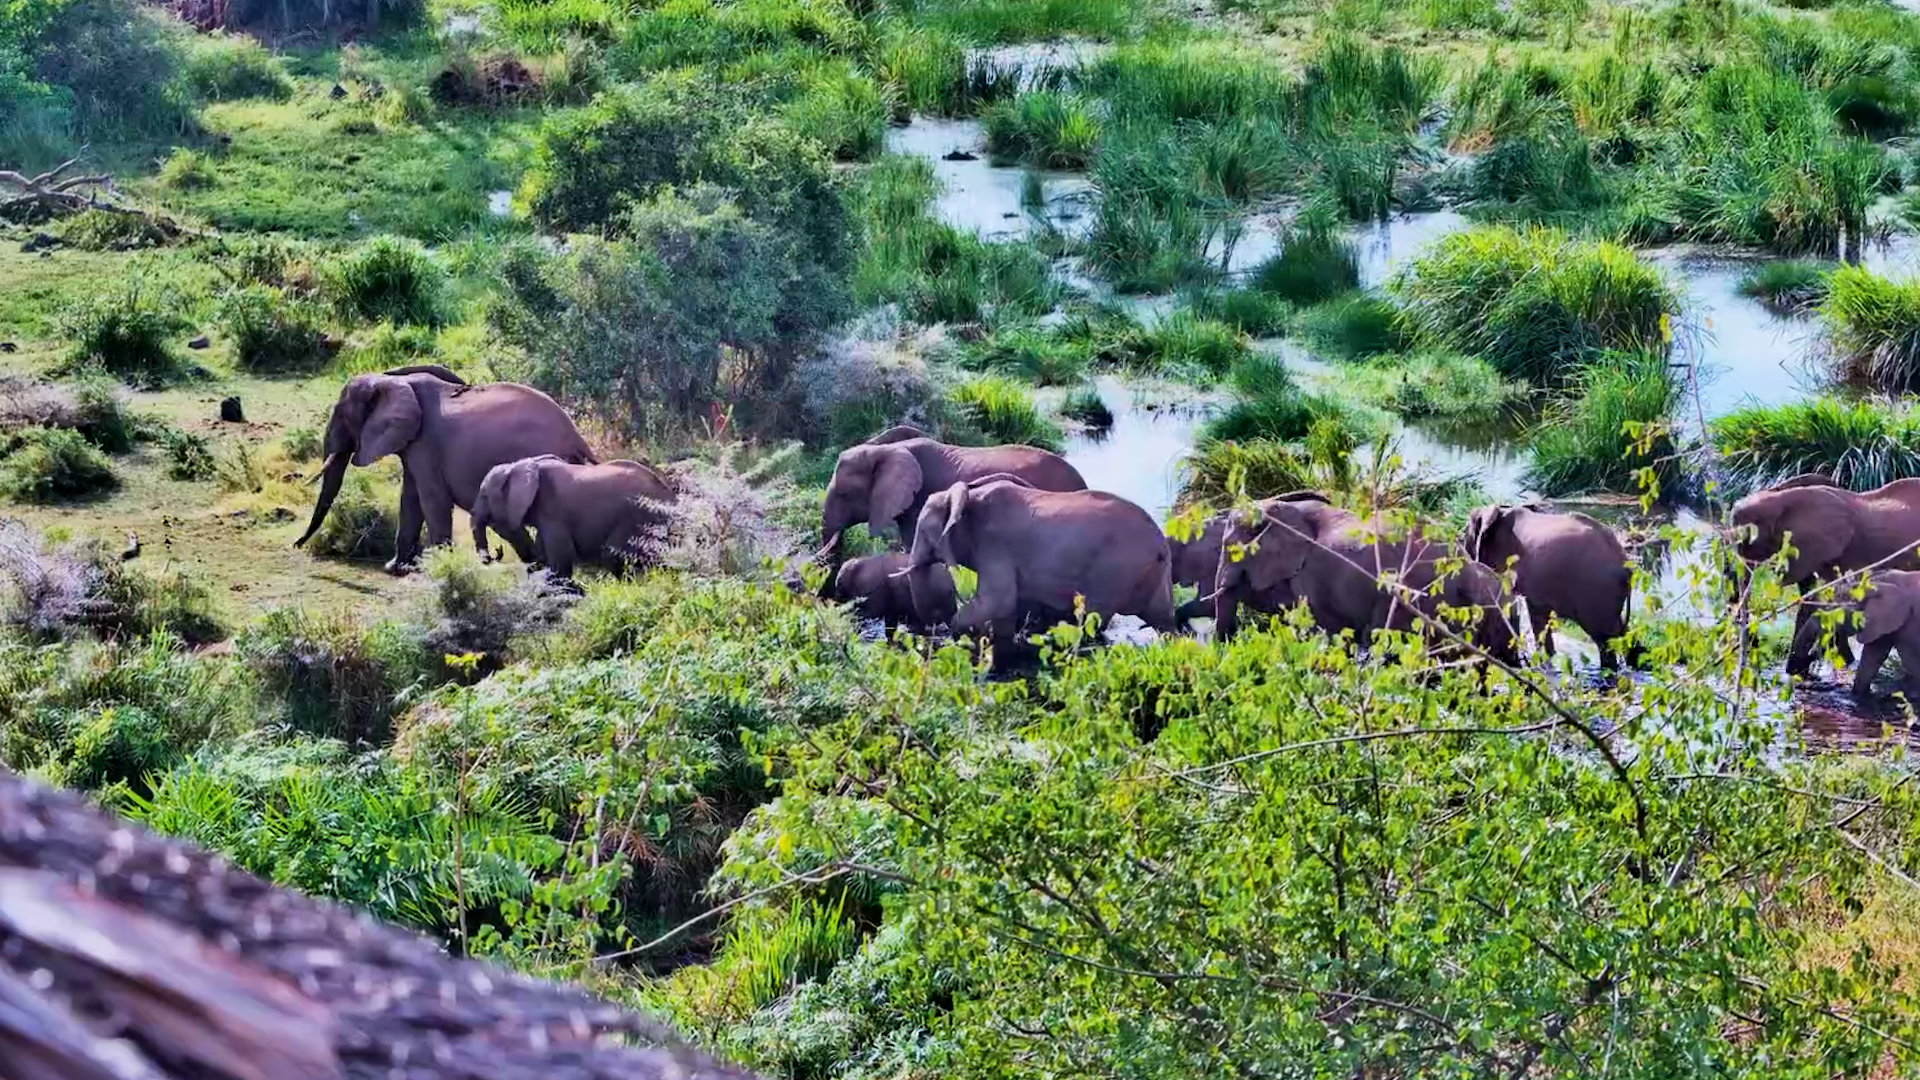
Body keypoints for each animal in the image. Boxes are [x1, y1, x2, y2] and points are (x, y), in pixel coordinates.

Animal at [295, 365, 594, 573]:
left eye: (343, 417)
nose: (296, 544)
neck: (390, 380)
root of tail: (578, 440)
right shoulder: (413, 444)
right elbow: (410, 499)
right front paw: (396, 568)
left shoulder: (426, 444)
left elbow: (432, 500)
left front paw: (438, 569)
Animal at [469, 455, 675, 580]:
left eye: (484, 495)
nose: (496, 551)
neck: (517, 466)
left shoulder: (553, 510)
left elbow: (561, 559)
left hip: (640, 518)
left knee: (616, 555)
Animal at [903, 476, 1175, 664]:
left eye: (924, 531)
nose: (930, 632)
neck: (966, 496)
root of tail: (1160, 542)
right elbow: (1005, 609)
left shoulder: (995, 544)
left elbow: (998, 600)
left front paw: (963, 638)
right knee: (1163, 619)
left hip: (1114, 569)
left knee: (1092, 620)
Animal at [1463, 503, 1638, 669]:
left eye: (1466, 534)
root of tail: (1626, 566)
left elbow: (1537, 616)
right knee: (1623, 631)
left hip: (1597, 592)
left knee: (1603, 639)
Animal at [1729, 475, 1920, 674]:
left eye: (1748, 537)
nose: (1755, 664)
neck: (1779, 497)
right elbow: (1810, 598)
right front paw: (1797, 673)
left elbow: (1822, 600)